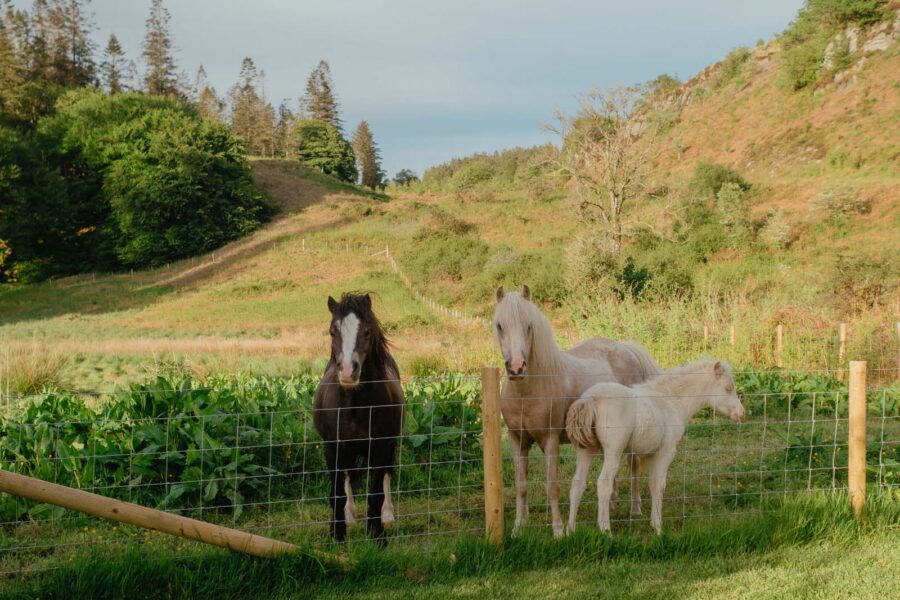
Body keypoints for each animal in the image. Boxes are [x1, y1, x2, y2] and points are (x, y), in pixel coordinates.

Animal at [313, 293, 405, 545]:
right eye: (332, 331)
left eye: (366, 332)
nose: (347, 371)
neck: (355, 406)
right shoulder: (332, 448)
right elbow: (337, 493)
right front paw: (337, 534)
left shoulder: (380, 447)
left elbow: (375, 492)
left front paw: (377, 535)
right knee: (347, 479)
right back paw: (349, 515)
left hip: (389, 446)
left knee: (387, 476)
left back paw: (387, 515)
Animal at [492, 285, 662, 537]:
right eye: (499, 325)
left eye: (529, 325)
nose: (516, 368)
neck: (527, 392)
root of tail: (626, 349)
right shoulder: (517, 440)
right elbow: (520, 486)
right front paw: (518, 528)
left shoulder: (550, 440)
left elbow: (552, 486)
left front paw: (558, 530)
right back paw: (612, 501)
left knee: (633, 465)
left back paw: (635, 508)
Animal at [565, 358, 745, 535]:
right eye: (728, 388)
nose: (741, 413)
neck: (671, 400)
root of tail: (590, 399)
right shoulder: (666, 451)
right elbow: (658, 485)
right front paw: (657, 527)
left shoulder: (650, 453)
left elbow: (651, 483)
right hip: (613, 451)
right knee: (603, 484)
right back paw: (605, 530)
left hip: (586, 449)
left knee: (577, 483)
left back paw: (570, 530)